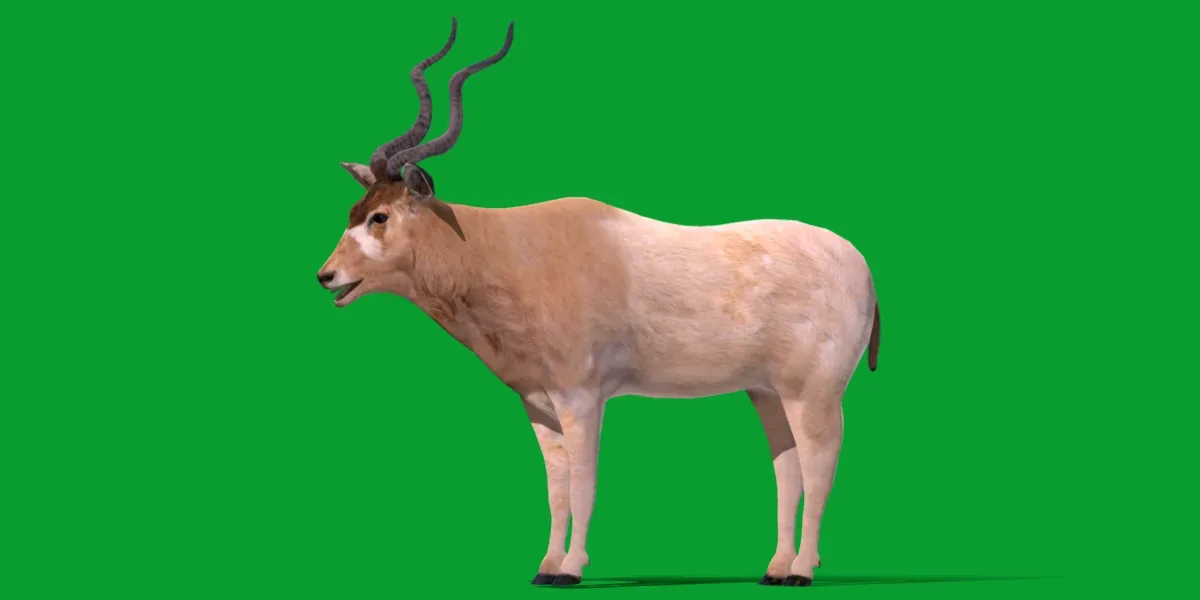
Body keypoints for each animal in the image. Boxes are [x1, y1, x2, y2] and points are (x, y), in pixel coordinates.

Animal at [316, 19, 882, 588]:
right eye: (355, 210)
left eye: (380, 217)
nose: (326, 276)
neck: (502, 250)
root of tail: (860, 265)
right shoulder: (539, 405)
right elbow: (556, 487)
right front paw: (545, 567)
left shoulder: (582, 397)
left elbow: (585, 482)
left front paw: (570, 569)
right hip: (767, 392)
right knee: (788, 468)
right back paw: (776, 568)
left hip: (812, 392)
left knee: (819, 462)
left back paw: (802, 570)